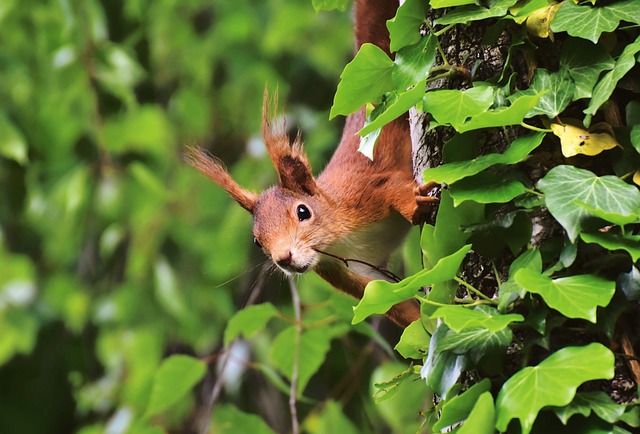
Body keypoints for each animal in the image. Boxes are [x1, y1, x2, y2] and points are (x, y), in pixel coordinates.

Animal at [187, 0, 438, 327]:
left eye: (303, 212)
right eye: (257, 241)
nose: (284, 259)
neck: (338, 240)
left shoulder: (366, 192)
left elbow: (393, 187)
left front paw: (416, 204)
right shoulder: (346, 271)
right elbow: (390, 301)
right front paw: (424, 325)